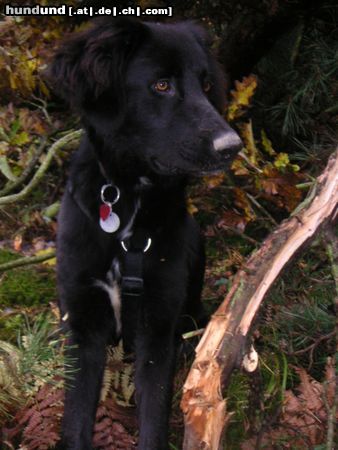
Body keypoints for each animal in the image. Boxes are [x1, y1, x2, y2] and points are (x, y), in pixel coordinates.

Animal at [50, 18, 242, 450]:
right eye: (161, 85)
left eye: (206, 85)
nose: (232, 146)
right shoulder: (84, 325)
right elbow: (76, 416)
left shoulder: (158, 325)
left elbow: (153, 416)